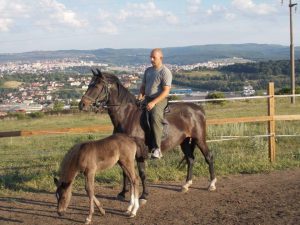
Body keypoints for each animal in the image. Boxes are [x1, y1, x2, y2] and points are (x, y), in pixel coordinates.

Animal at [78, 68, 217, 204]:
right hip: (185, 141)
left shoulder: (140, 153)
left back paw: (211, 184)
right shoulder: (124, 152)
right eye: (89, 84)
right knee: (190, 159)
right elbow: (125, 173)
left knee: (209, 157)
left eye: (97, 85)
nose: (82, 104)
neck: (128, 116)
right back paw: (186, 185)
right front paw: (122, 193)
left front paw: (144, 195)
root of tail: (198, 109)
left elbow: (142, 173)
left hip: (199, 139)